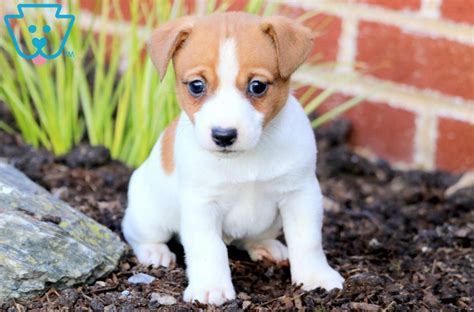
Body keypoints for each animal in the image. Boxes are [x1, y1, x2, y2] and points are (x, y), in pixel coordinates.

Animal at [122, 11, 344, 304]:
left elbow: (308, 240)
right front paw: (210, 287)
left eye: (257, 86)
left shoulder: (301, 194)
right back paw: (154, 252)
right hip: (150, 217)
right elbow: (209, 248)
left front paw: (316, 278)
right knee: (135, 231)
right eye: (197, 86)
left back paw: (266, 247)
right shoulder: (202, 205)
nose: (223, 135)